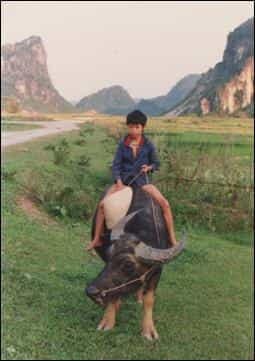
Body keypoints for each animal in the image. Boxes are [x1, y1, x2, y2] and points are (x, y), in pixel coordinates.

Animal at [85, 184, 185, 338]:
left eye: (128, 265)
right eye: (108, 256)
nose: (91, 291)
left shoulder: (157, 269)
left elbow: (149, 299)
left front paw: (149, 330)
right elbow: (114, 294)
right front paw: (108, 321)